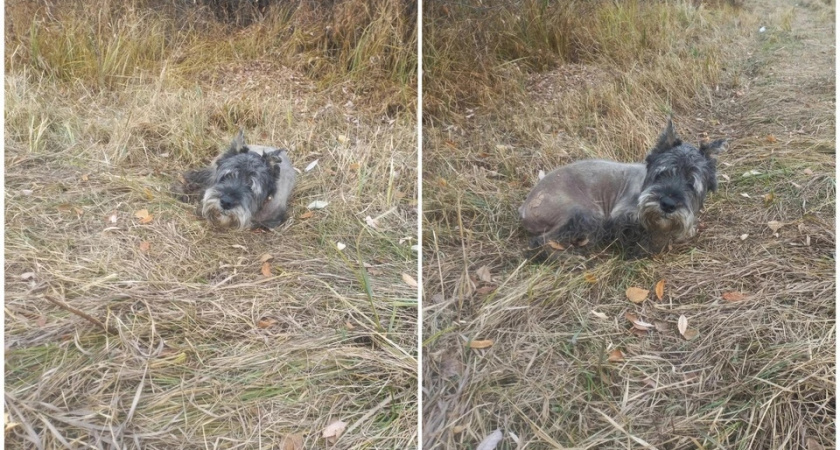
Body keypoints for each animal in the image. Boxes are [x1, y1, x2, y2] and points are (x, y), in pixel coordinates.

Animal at [520, 118, 720, 253]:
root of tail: (524, 208)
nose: (668, 204)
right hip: (583, 214)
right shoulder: (622, 215)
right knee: (542, 242)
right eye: (662, 173)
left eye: (691, 183)